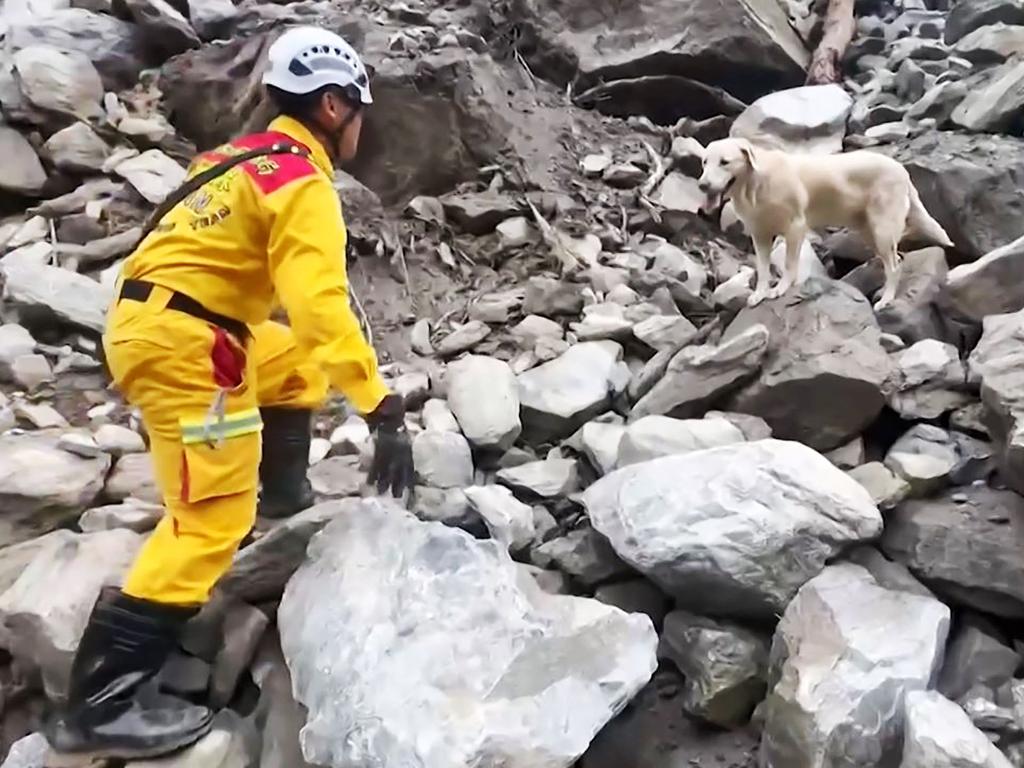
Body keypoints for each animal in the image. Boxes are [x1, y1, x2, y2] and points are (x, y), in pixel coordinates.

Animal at [696, 138, 950, 309]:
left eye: (725, 162)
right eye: (704, 162)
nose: (702, 185)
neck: (756, 184)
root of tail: (901, 170)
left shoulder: (795, 228)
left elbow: (789, 264)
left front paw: (781, 288)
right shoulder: (760, 236)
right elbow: (763, 268)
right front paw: (760, 293)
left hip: (883, 229)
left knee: (894, 267)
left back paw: (886, 300)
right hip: (869, 231)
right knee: (896, 259)